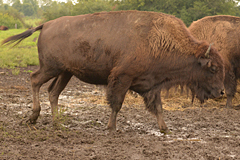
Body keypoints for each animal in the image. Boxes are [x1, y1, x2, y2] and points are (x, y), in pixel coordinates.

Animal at [1, 10, 225, 133]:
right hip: (50, 68)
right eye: (213, 68)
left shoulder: (152, 84)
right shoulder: (122, 78)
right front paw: (111, 128)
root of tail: (46, 24)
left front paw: (165, 129)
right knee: (34, 80)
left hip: (65, 72)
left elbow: (158, 107)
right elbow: (116, 104)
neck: (159, 40)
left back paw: (58, 123)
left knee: (53, 92)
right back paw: (33, 117)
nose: (221, 92)